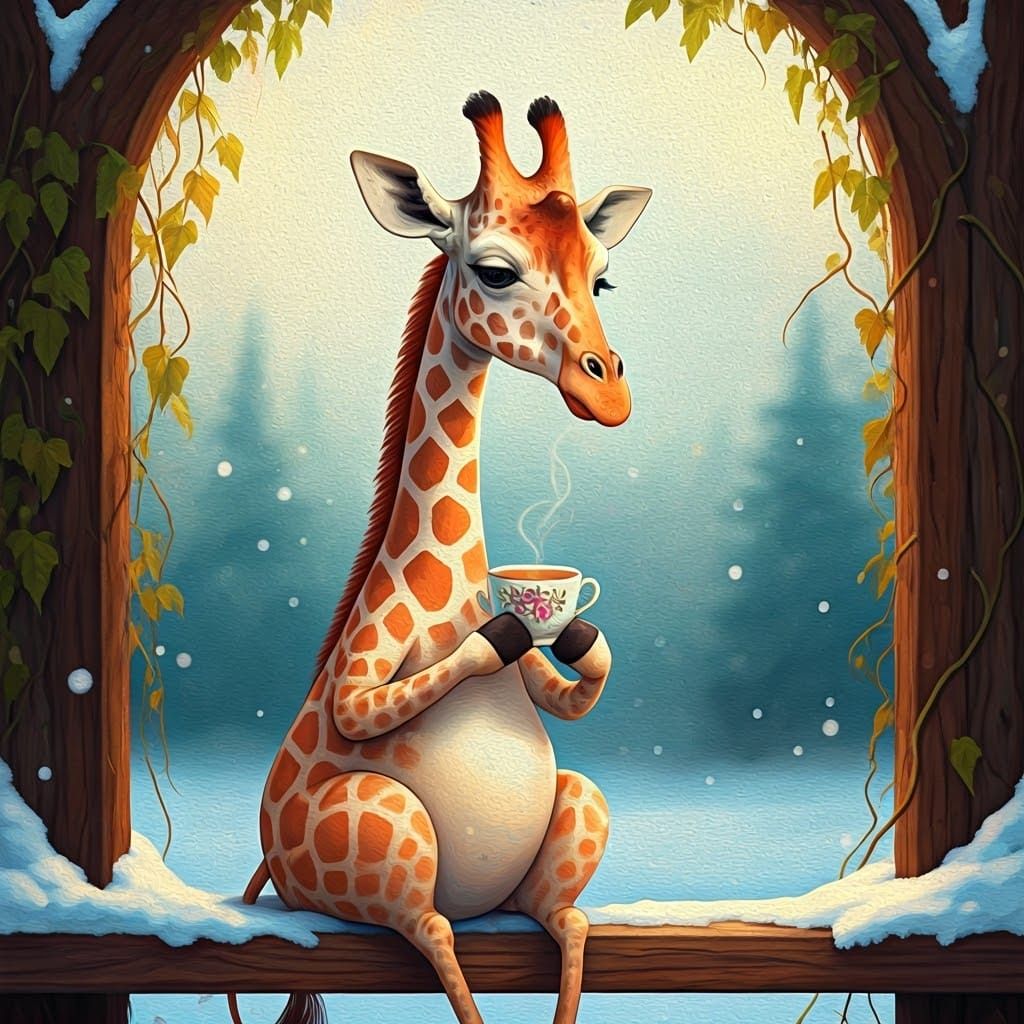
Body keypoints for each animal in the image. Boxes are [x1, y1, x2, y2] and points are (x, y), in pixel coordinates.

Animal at [229, 92, 651, 1024]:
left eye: (603, 276)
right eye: (494, 271)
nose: (608, 393)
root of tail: (271, 857)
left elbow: (573, 687)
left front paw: (576, 638)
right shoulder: (360, 679)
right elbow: (368, 707)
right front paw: (501, 634)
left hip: (573, 810)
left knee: (566, 919)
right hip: (383, 822)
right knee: (433, 930)